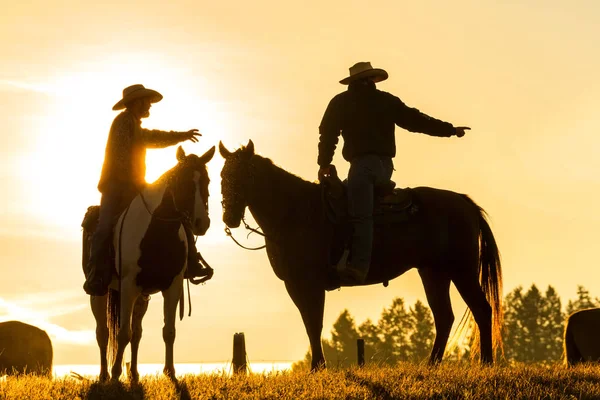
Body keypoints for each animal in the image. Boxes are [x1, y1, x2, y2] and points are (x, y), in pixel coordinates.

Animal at [82, 145, 216, 382]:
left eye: (207, 180)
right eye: (182, 181)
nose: (202, 223)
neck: (157, 231)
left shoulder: (172, 286)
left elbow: (168, 331)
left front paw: (170, 372)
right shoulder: (128, 286)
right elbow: (122, 333)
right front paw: (116, 374)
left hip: (142, 297)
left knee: (137, 333)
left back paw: (134, 374)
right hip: (99, 293)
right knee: (103, 333)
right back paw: (105, 375)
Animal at [218, 141, 504, 372]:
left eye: (246, 174)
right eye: (222, 175)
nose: (229, 217)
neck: (294, 212)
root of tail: (465, 203)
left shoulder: (309, 284)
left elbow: (314, 323)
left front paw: (317, 367)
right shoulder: (295, 285)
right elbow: (310, 323)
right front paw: (318, 366)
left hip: (462, 271)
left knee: (481, 309)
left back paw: (485, 363)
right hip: (434, 273)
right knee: (444, 317)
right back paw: (432, 364)